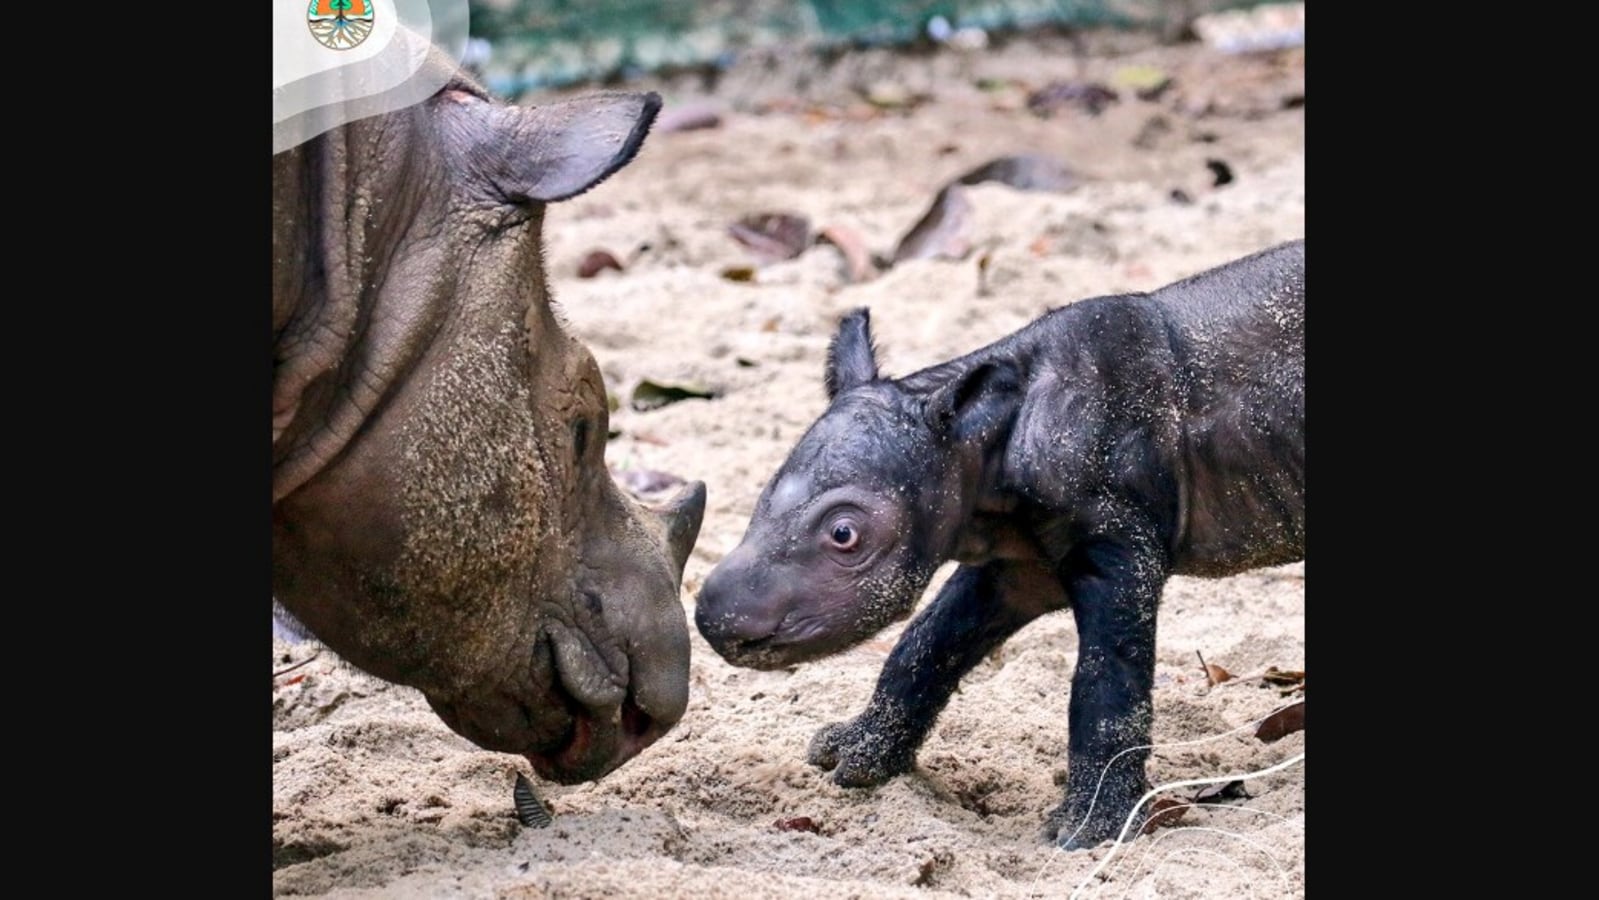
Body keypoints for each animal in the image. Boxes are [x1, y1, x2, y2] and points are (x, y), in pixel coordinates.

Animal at [693, 238, 1304, 844]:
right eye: (759, 497)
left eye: (845, 534)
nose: (715, 620)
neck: (985, 439)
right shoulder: (1019, 562)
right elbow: (928, 642)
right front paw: (857, 757)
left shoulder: (1119, 541)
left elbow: (1108, 681)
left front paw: (1090, 831)